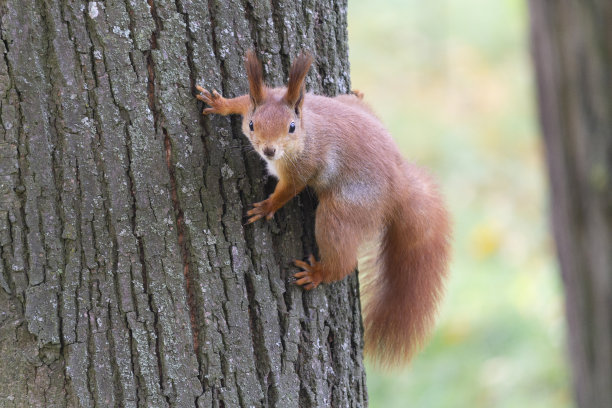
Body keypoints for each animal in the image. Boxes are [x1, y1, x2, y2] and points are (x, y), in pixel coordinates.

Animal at [196, 51, 450, 366]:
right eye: (252, 125)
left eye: (291, 127)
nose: (269, 151)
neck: (308, 130)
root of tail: (398, 183)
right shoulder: (267, 96)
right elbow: (244, 100)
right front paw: (221, 103)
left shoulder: (303, 169)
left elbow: (289, 190)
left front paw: (267, 207)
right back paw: (357, 94)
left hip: (343, 209)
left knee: (343, 257)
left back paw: (318, 274)